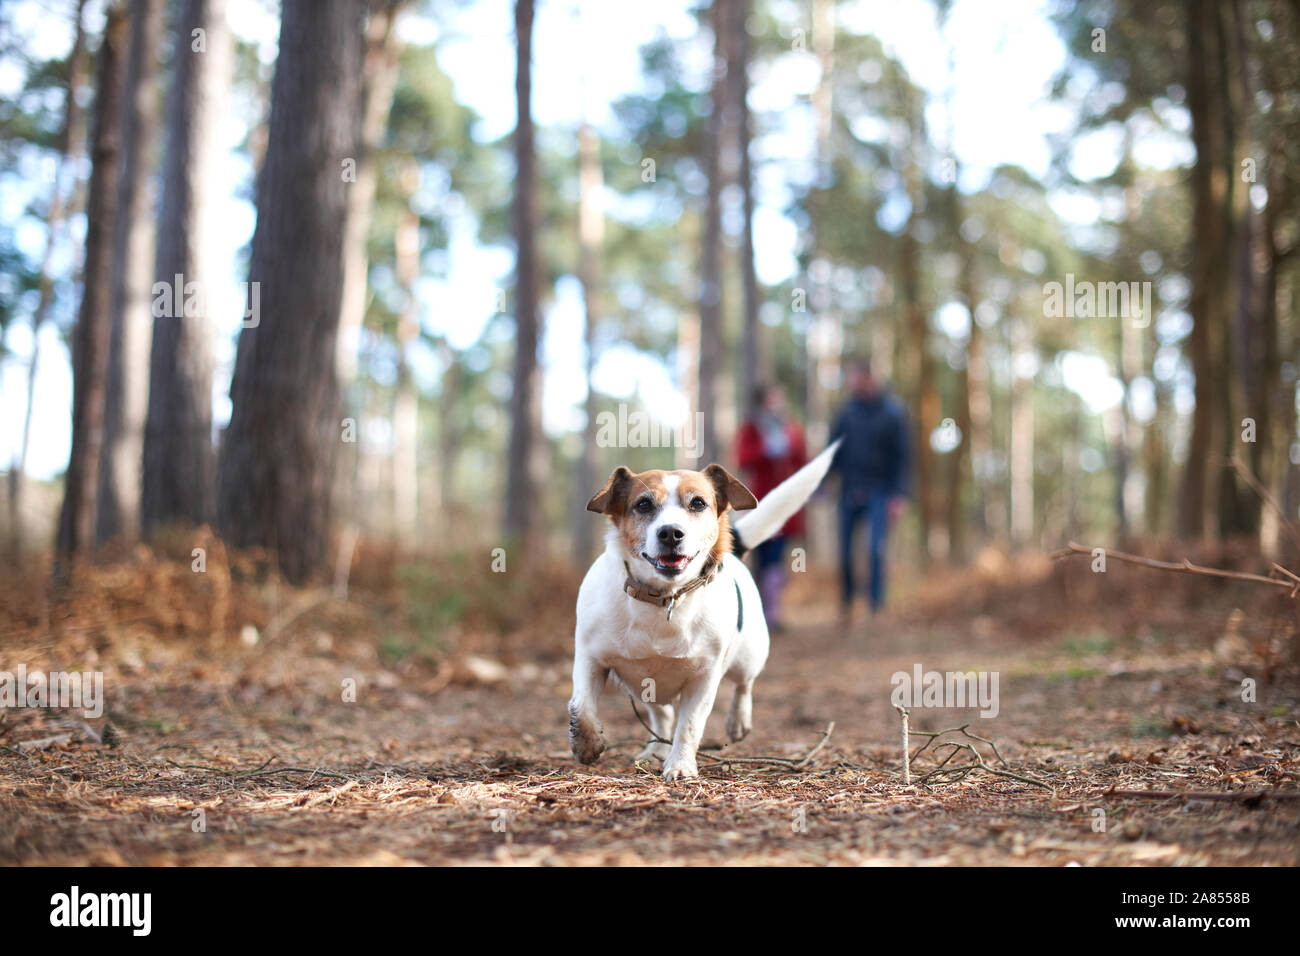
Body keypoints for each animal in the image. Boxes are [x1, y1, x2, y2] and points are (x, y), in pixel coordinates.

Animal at [572, 442, 842, 780]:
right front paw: (587, 744)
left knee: (744, 685)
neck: (665, 599)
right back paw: (654, 750)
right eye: (643, 504)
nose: (671, 533)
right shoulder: (590, 657)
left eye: (698, 503)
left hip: (750, 655)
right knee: (661, 715)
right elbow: (581, 706)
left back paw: (738, 720)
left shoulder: (704, 676)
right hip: (641, 686)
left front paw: (680, 765)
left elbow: (689, 726)